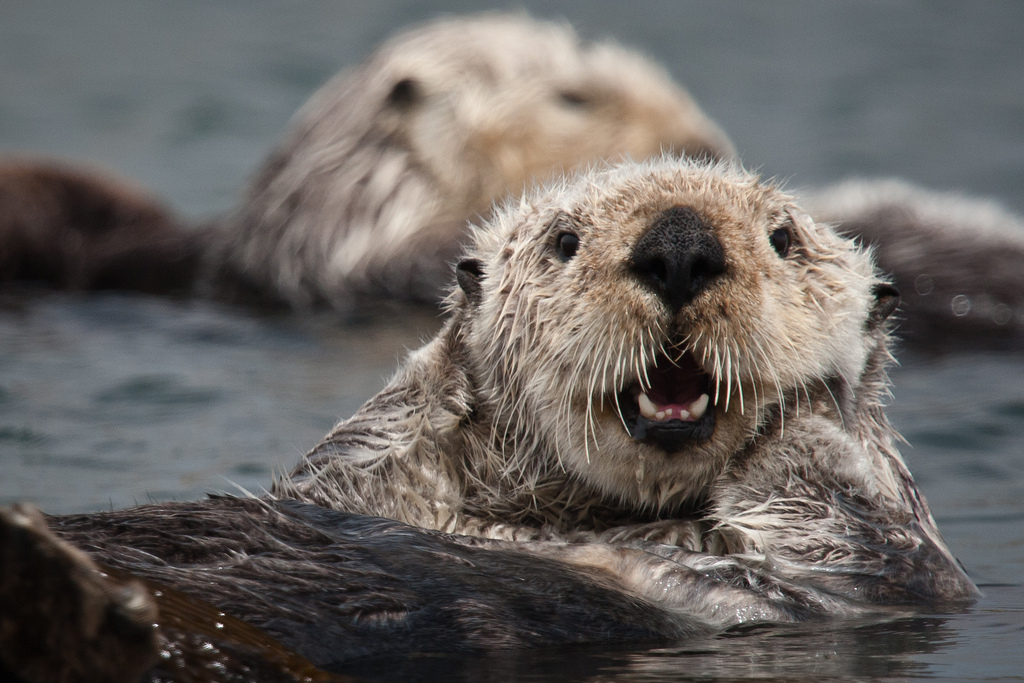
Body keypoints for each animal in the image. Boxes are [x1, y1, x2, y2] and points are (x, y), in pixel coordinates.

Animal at [0, 158, 977, 681]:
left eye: (785, 240)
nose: (679, 244)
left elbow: (852, 522)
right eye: (563, 241)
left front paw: (815, 408)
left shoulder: (876, 576)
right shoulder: (358, 476)